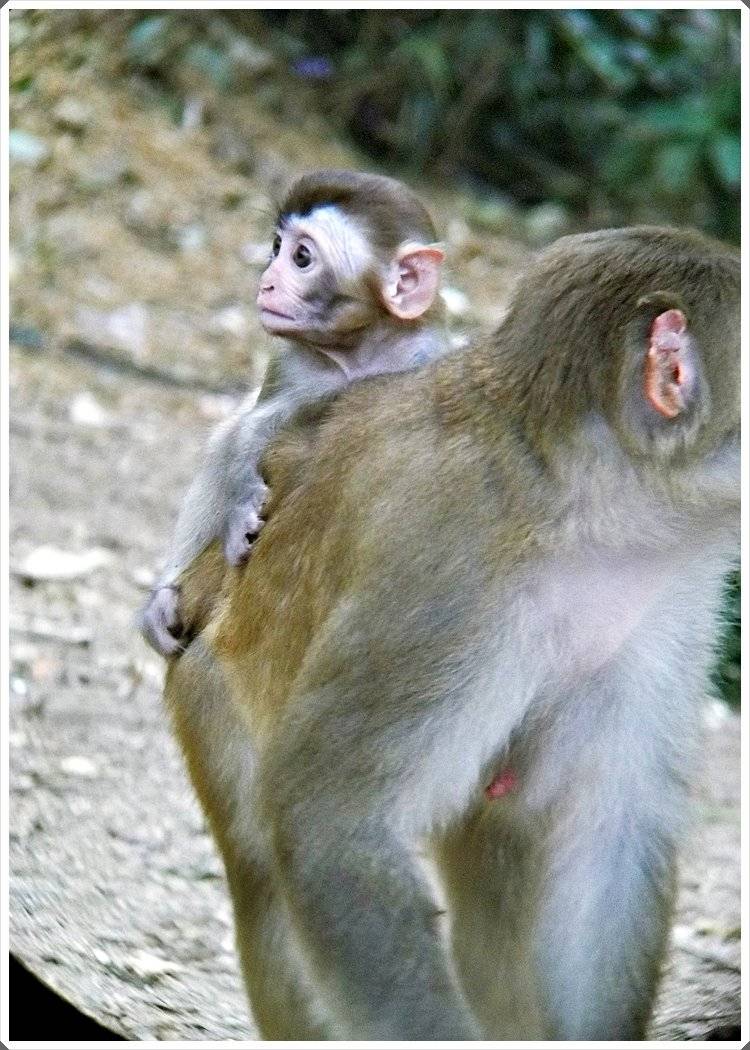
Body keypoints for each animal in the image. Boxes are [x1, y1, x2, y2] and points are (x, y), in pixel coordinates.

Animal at [141, 169, 447, 656]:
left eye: (301, 257)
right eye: (275, 246)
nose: (266, 281)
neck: (357, 352)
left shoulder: (426, 356)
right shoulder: (291, 363)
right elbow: (250, 430)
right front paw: (240, 510)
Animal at [162, 226, 740, 1040]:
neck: (581, 501)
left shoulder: (670, 598)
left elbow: (612, 832)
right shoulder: (445, 576)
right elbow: (330, 824)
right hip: (210, 683)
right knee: (267, 877)